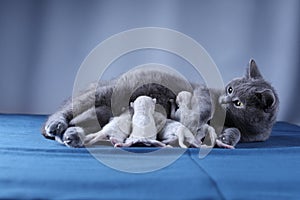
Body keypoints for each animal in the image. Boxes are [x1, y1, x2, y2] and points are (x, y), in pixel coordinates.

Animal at [41, 58, 278, 148]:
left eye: (238, 103)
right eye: (229, 89)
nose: (225, 100)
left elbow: (235, 133)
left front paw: (227, 137)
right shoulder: (202, 91)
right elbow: (204, 105)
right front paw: (197, 120)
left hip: (101, 113)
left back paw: (70, 135)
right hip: (105, 93)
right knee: (67, 109)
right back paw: (56, 125)